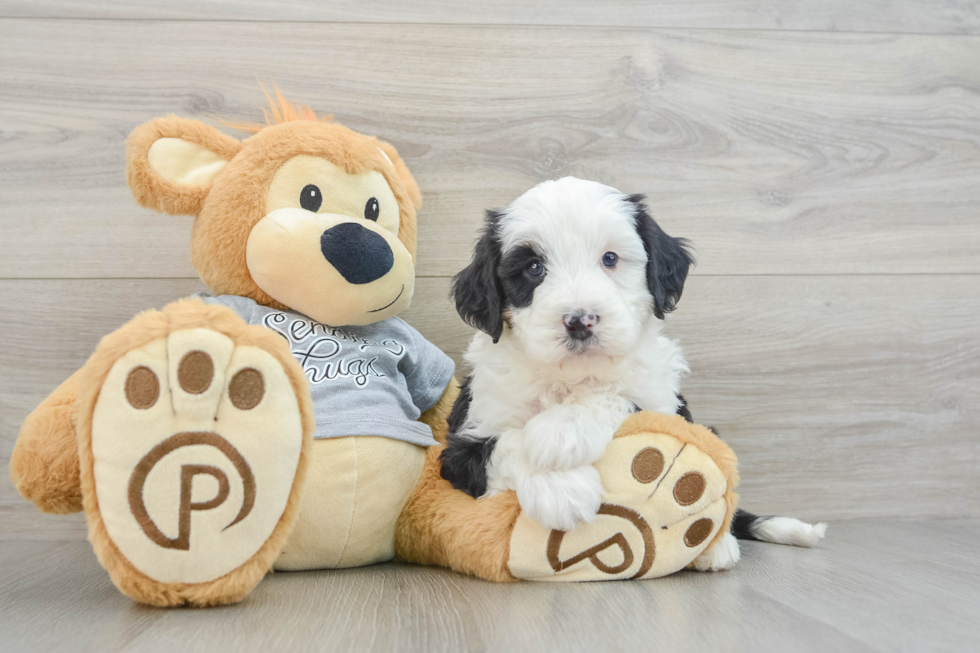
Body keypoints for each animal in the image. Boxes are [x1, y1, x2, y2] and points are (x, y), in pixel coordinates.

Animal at [442, 177, 828, 572]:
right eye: (534, 268)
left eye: (610, 259)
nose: (580, 320)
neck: (574, 377)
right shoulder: (465, 439)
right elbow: (501, 446)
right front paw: (561, 489)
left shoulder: (660, 399)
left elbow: (619, 399)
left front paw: (560, 432)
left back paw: (716, 549)